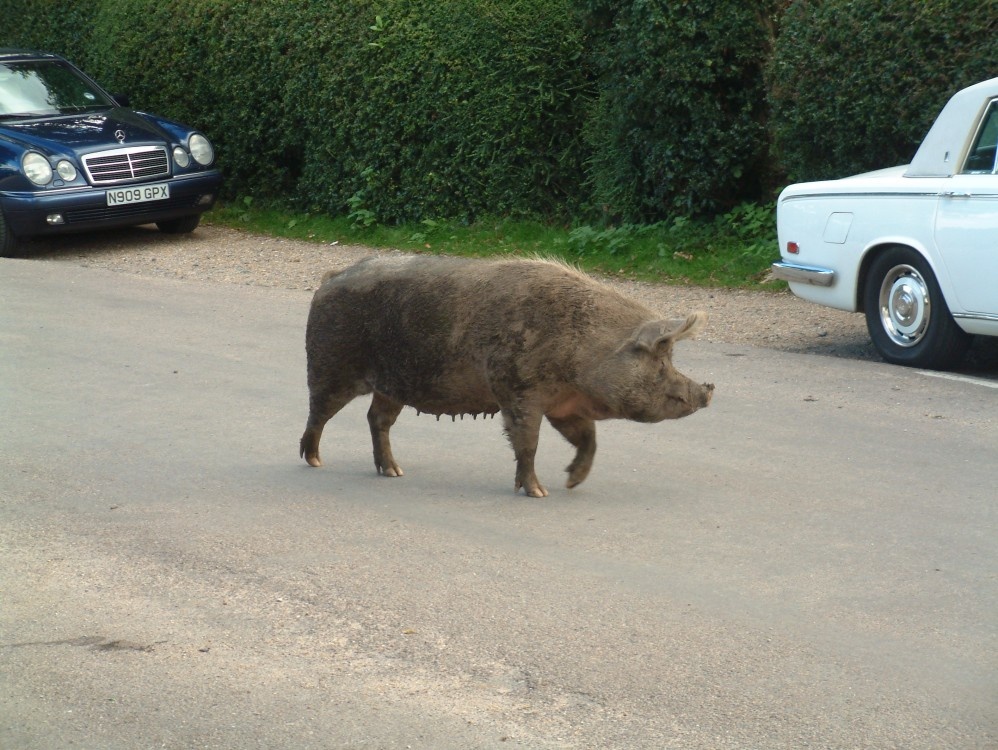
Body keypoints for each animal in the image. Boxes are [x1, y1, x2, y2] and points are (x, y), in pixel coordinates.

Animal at [300, 255, 713, 497]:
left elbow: (588, 439)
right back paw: (315, 461)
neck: (584, 351)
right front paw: (538, 492)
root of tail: (330, 276)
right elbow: (527, 442)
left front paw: (571, 482)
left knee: (376, 419)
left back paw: (395, 472)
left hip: (392, 385)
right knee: (318, 411)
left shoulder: (562, 405)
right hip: (330, 365)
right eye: (661, 361)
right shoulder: (518, 389)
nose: (708, 390)